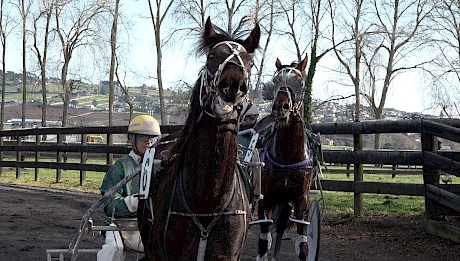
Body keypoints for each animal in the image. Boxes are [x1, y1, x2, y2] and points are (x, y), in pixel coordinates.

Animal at [255, 55, 316, 260]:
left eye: (300, 82)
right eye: (276, 80)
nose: (280, 107)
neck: (288, 156)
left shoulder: (301, 199)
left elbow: (303, 246)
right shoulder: (265, 199)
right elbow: (263, 243)